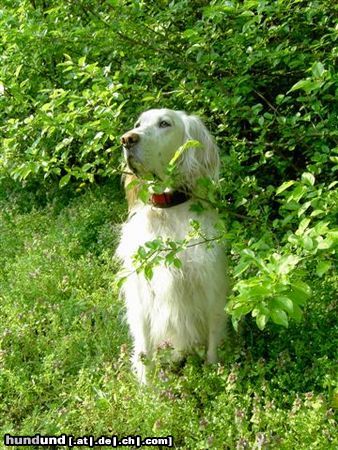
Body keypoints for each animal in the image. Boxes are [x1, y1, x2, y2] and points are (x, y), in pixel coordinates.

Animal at [115, 109, 227, 384]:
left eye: (165, 124)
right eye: (138, 124)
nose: (127, 139)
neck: (168, 209)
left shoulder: (212, 287)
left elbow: (213, 343)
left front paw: (213, 377)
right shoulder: (141, 294)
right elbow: (144, 351)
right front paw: (147, 391)